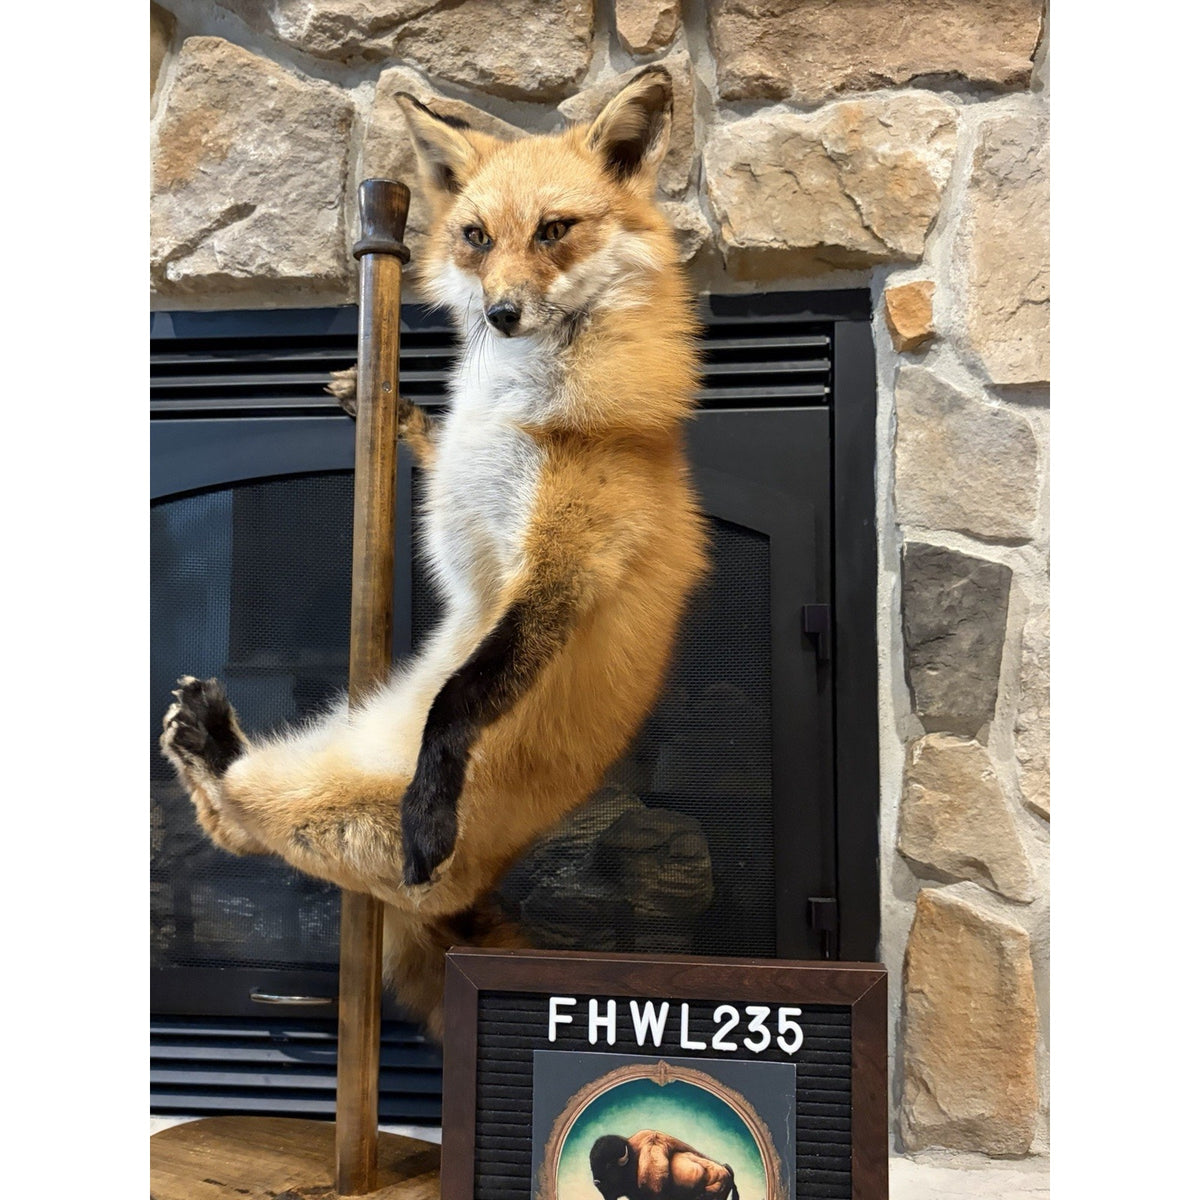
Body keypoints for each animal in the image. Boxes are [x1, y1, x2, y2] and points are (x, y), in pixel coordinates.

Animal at [159, 66, 707, 1035]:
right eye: (476, 236)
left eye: (555, 230)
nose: (501, 312)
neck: (513, 403)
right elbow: (434, 444)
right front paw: (388, 406)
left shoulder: (566, 567)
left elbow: (461, 697)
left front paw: (432, 801)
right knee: (230, 821)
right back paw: (202, 736)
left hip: (330, 814)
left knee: (247, 817)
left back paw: (214, 744)